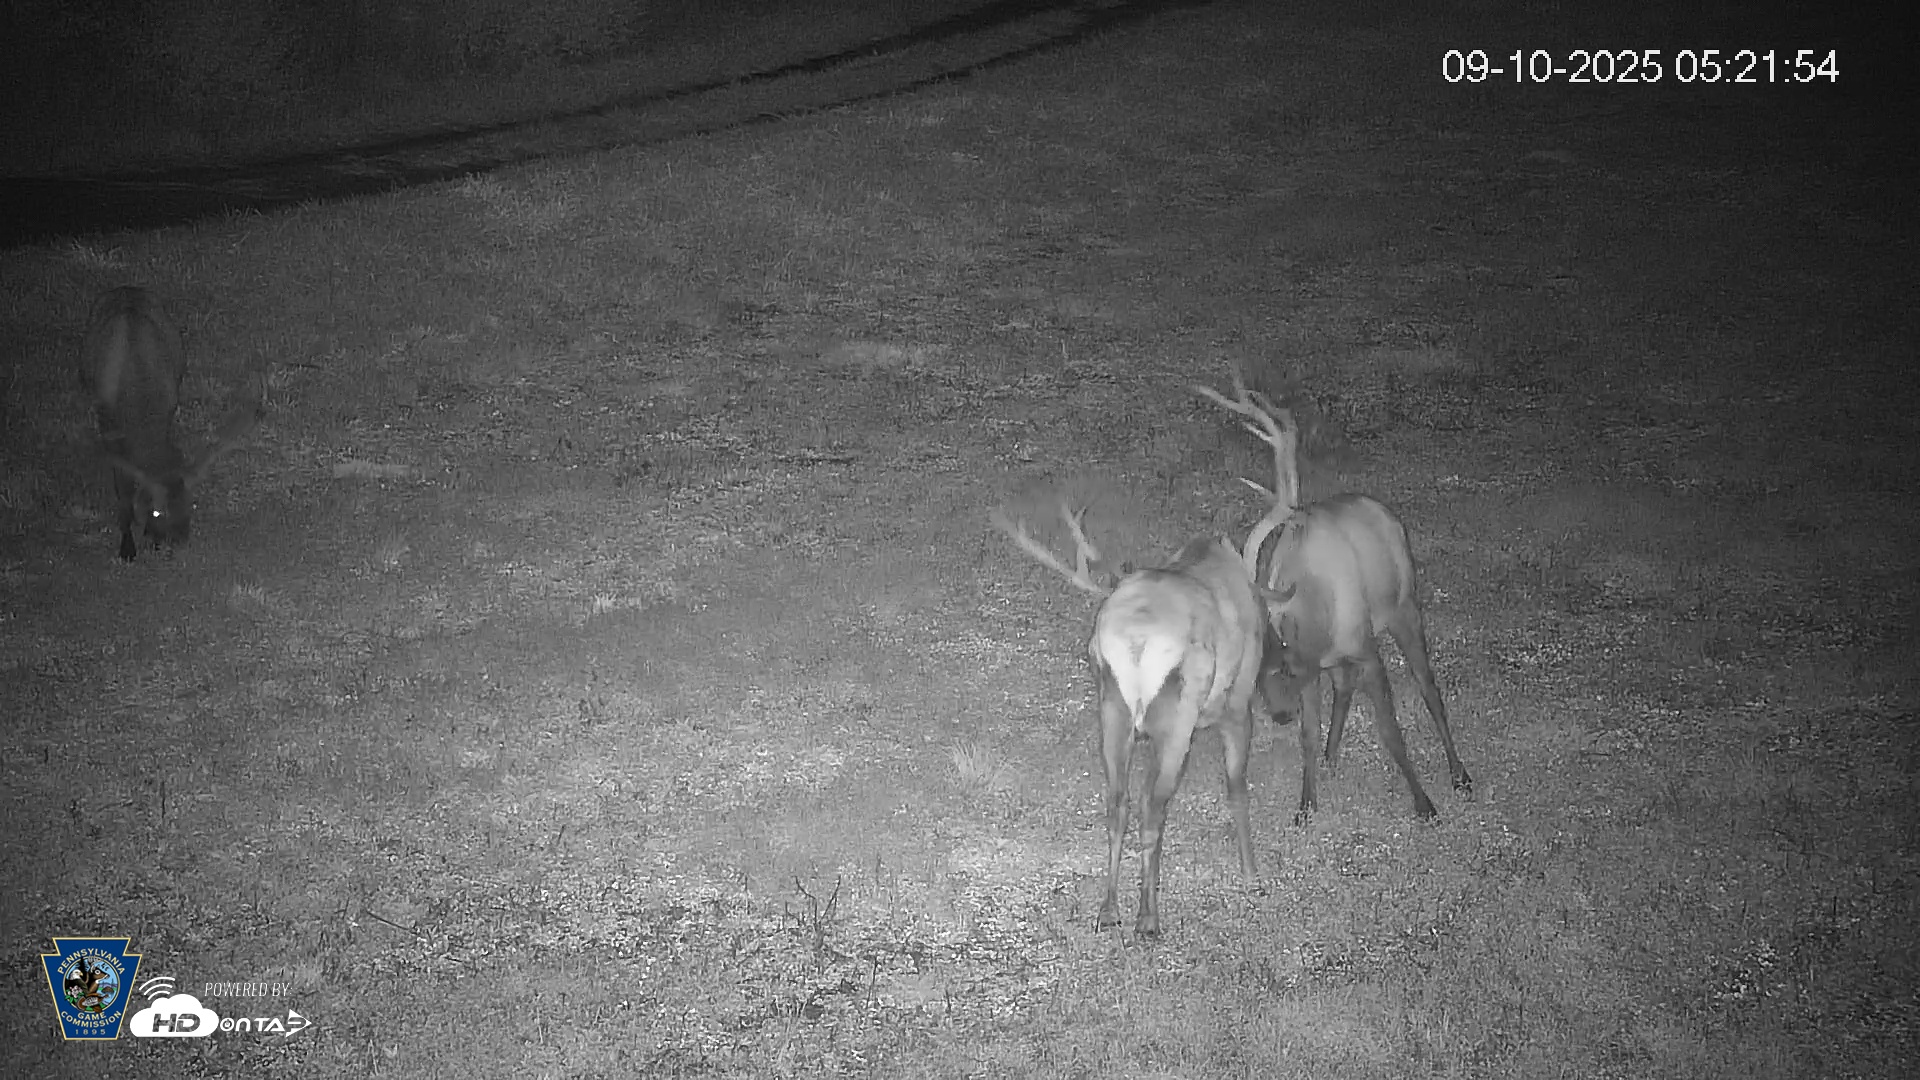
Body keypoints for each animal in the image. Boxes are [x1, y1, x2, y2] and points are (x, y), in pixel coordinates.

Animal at [77, 286, 262, 561]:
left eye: (190, 502)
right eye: (157, 511)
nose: (179, 540)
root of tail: (125, 288)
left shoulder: (168, 407)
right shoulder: (107, 421)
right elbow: (123, 485)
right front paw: (127, 546)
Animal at [994, 499, 1267, 936]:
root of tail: (1138, 642)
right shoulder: (1239, 701)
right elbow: (1237, 787)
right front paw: (1252, 877)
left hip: (1113, 708)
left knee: (1118, 803)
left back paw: (1109, 910)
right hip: (1178, 716)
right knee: (1151, 809)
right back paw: (1148, 918)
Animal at [1196, 370, 1472, 823]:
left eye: (1280, 665)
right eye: (1252, 675)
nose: (1280, 714)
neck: (1315, 620)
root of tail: (1385, 512)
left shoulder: (1366, 649)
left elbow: (1391, 731)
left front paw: (1424, 803)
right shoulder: (1318, 668)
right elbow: (1309, 733)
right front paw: (1306, 804)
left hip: (1405, 607)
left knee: (1429, 687)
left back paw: (1460, 774)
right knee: (1344, 686)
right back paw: (1331, 755)